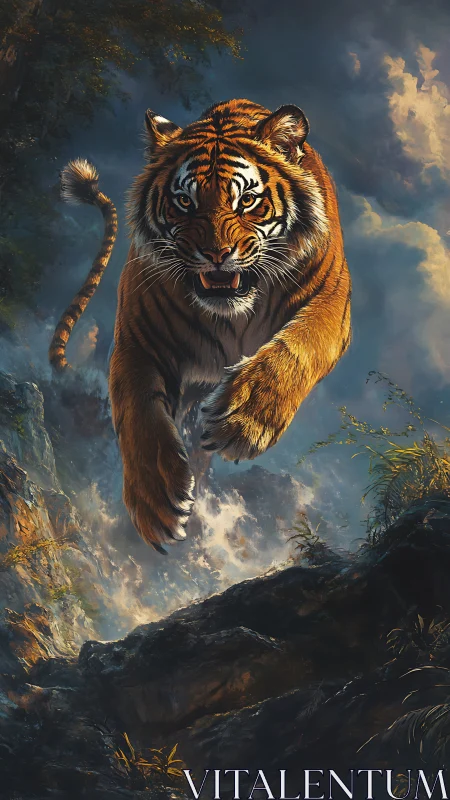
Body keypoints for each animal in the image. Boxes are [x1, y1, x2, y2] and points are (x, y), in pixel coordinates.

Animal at [50, 99, 351, 553]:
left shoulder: (332, 305)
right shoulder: (139, 339)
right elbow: (137, 412)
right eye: (184, 201)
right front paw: (155, 498)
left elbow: (298, 348)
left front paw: (245, 419)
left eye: (247, 200)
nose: (216, 254)